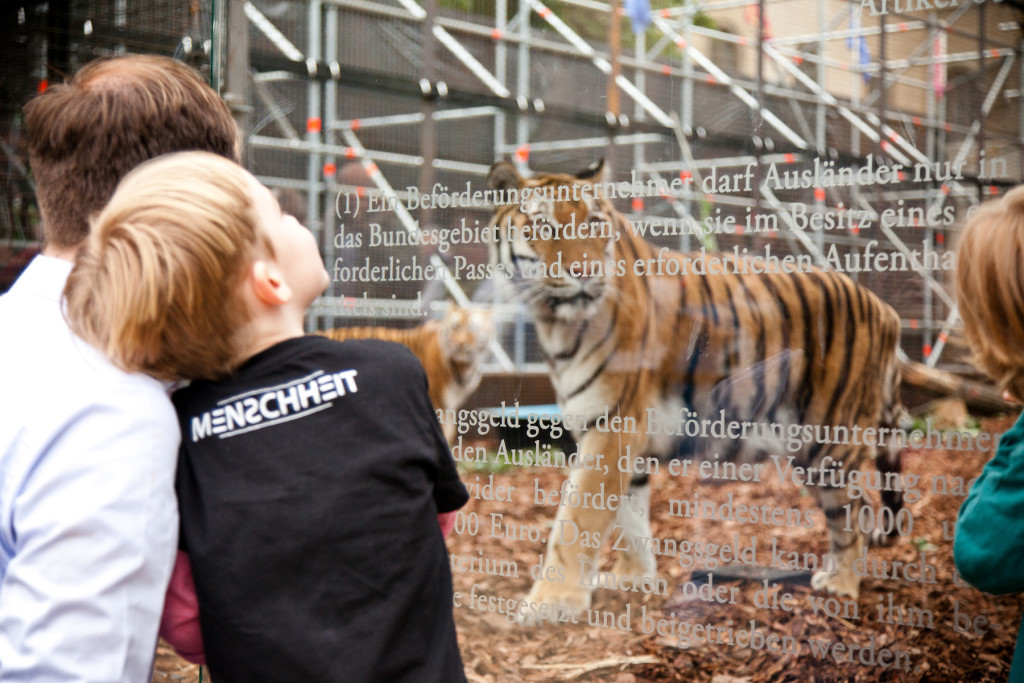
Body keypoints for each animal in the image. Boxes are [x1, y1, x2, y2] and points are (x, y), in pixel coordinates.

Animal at [317, 304, 494, 444]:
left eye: (472, 329)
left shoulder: (449, 408)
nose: (460, 344)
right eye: (455, 327)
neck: (463, 367)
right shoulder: (436, 404)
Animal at [485, 160, 909, 622]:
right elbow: (629, 517)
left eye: (593, 223)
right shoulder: (615, 434)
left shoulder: (614, 424)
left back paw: (841, 585)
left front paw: (550, 603)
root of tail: (886, 310)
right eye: (543, 225)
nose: (585, 273)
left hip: (828, 440)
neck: (554, 324)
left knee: (857, 508)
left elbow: (578, 520)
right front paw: (632, 578)